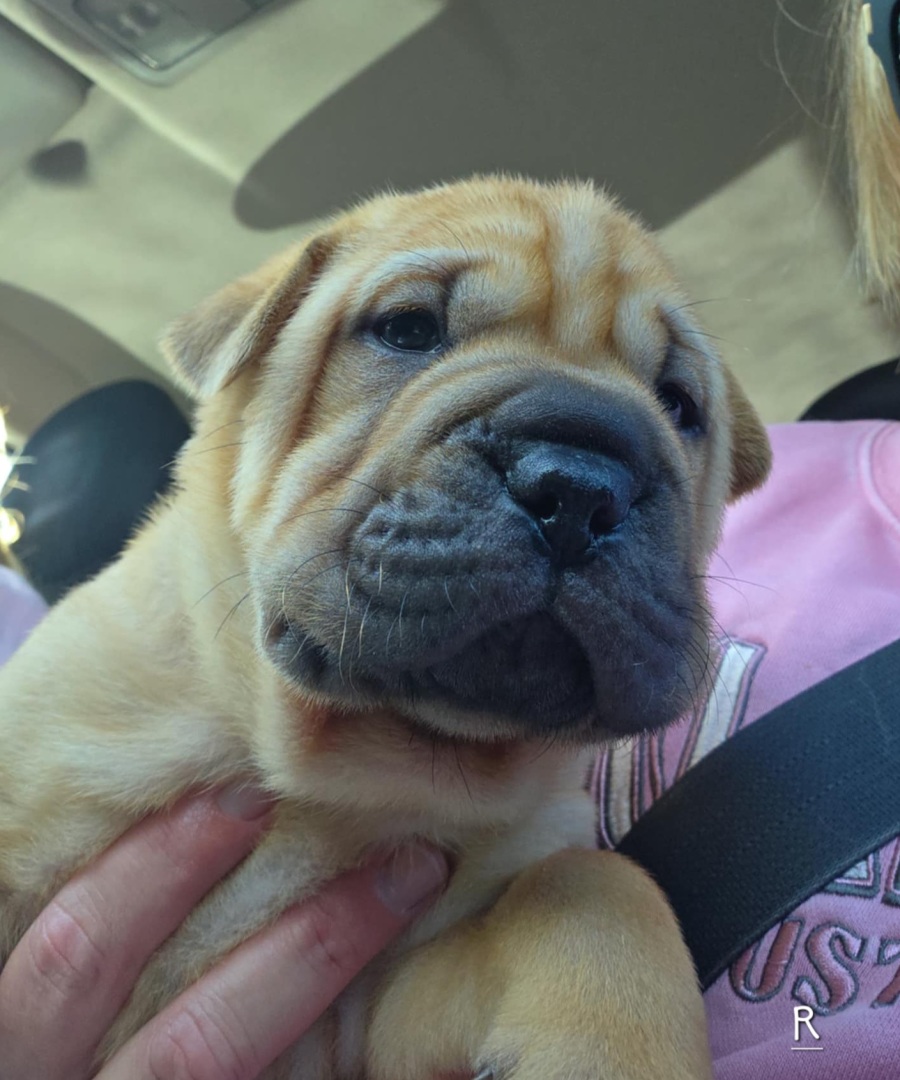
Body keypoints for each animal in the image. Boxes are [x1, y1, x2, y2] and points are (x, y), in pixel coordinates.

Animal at [0, 176, 770, 1078]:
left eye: (681, 406)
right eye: (407, 330)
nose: (581, 487)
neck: (341, 781)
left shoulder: (383, 1012)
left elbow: (595, 885)